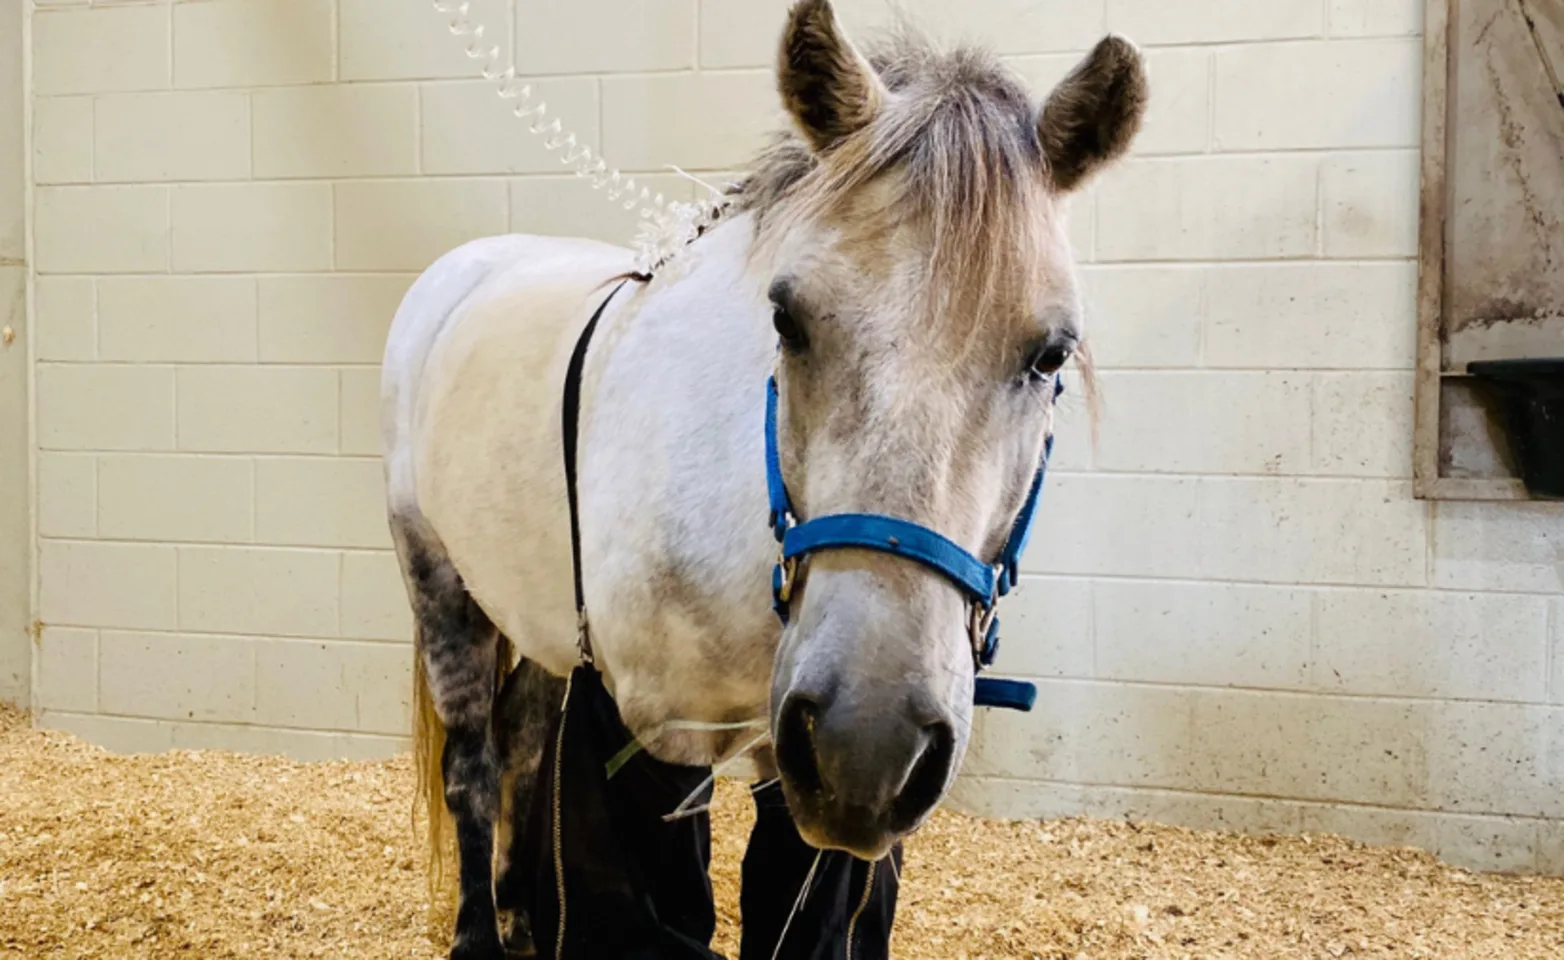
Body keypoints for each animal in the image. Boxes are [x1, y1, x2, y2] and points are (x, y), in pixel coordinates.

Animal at [384, 3, 1144, 956]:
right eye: (786, 319)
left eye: (1050, 354)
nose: (869, 741)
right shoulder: (649, 751)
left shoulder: (800, 794)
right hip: (440, 587)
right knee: (474, 766)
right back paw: (482, 931)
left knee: (521, 740)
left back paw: (524, 917)